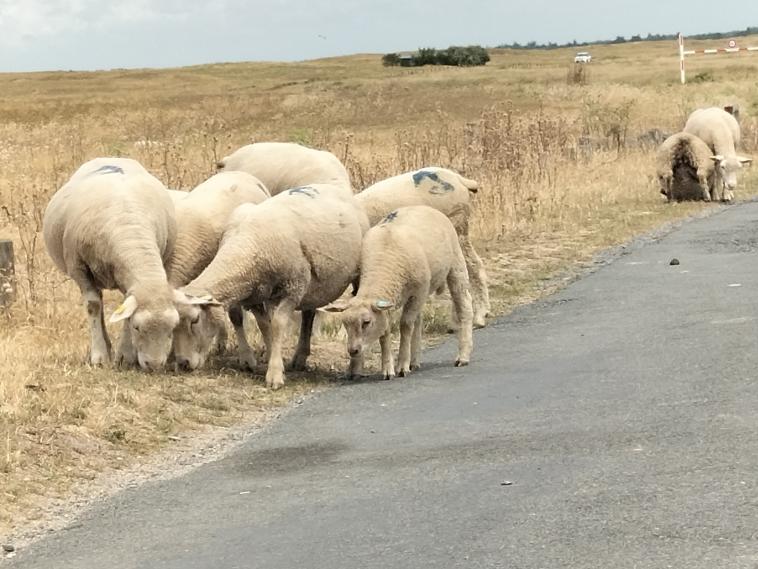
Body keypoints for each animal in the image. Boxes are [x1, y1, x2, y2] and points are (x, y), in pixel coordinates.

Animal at [43, 157, 180, 371]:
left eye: (173, 328)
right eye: (137, 327)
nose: (154, 365)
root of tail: (111, 157)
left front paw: (125, 356)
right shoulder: (79, 268)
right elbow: (92, 306)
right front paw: (99, 356)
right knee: (97, 303)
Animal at [164, 171, 270, 370]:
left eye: (195, 320)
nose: (184, 363)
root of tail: (239, 172)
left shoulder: (232, 276)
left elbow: (236, 316)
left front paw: (247, 358)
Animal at [172, 183, 368, 389]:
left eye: (195, 320)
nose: (183, 363)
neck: (245, 247)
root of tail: (330, 186)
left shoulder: (292, 289)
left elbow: (278, 325)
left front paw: (274, 374)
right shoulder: (256, 293)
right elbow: (265, 325)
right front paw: (272, 360)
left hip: (352, 275)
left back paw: (355, 366)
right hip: (312, 287)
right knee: (308, 315)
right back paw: (300, 357)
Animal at [322, 205, 473, 380]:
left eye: (366, 322)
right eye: (345, 323)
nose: (353, 351)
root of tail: (423, 206)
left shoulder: (418, 291)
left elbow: (405, 325)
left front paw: (401, 366)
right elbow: (386, 330)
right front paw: (388, 368)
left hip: (455, 262)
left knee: (464, 305)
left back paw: (463, 356)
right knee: (418, 320)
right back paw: (414, 361)